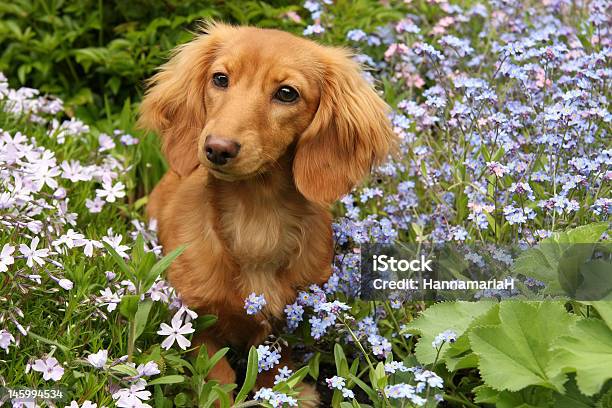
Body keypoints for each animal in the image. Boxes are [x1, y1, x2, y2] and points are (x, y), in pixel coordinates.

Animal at [139, 22, 396, 404]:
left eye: (287, 93)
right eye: (220, 78)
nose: (217, 148)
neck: (256, 219)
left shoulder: (288, 318)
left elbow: (275, 364)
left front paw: (288, 391)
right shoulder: (194, 319)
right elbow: (216, 375)